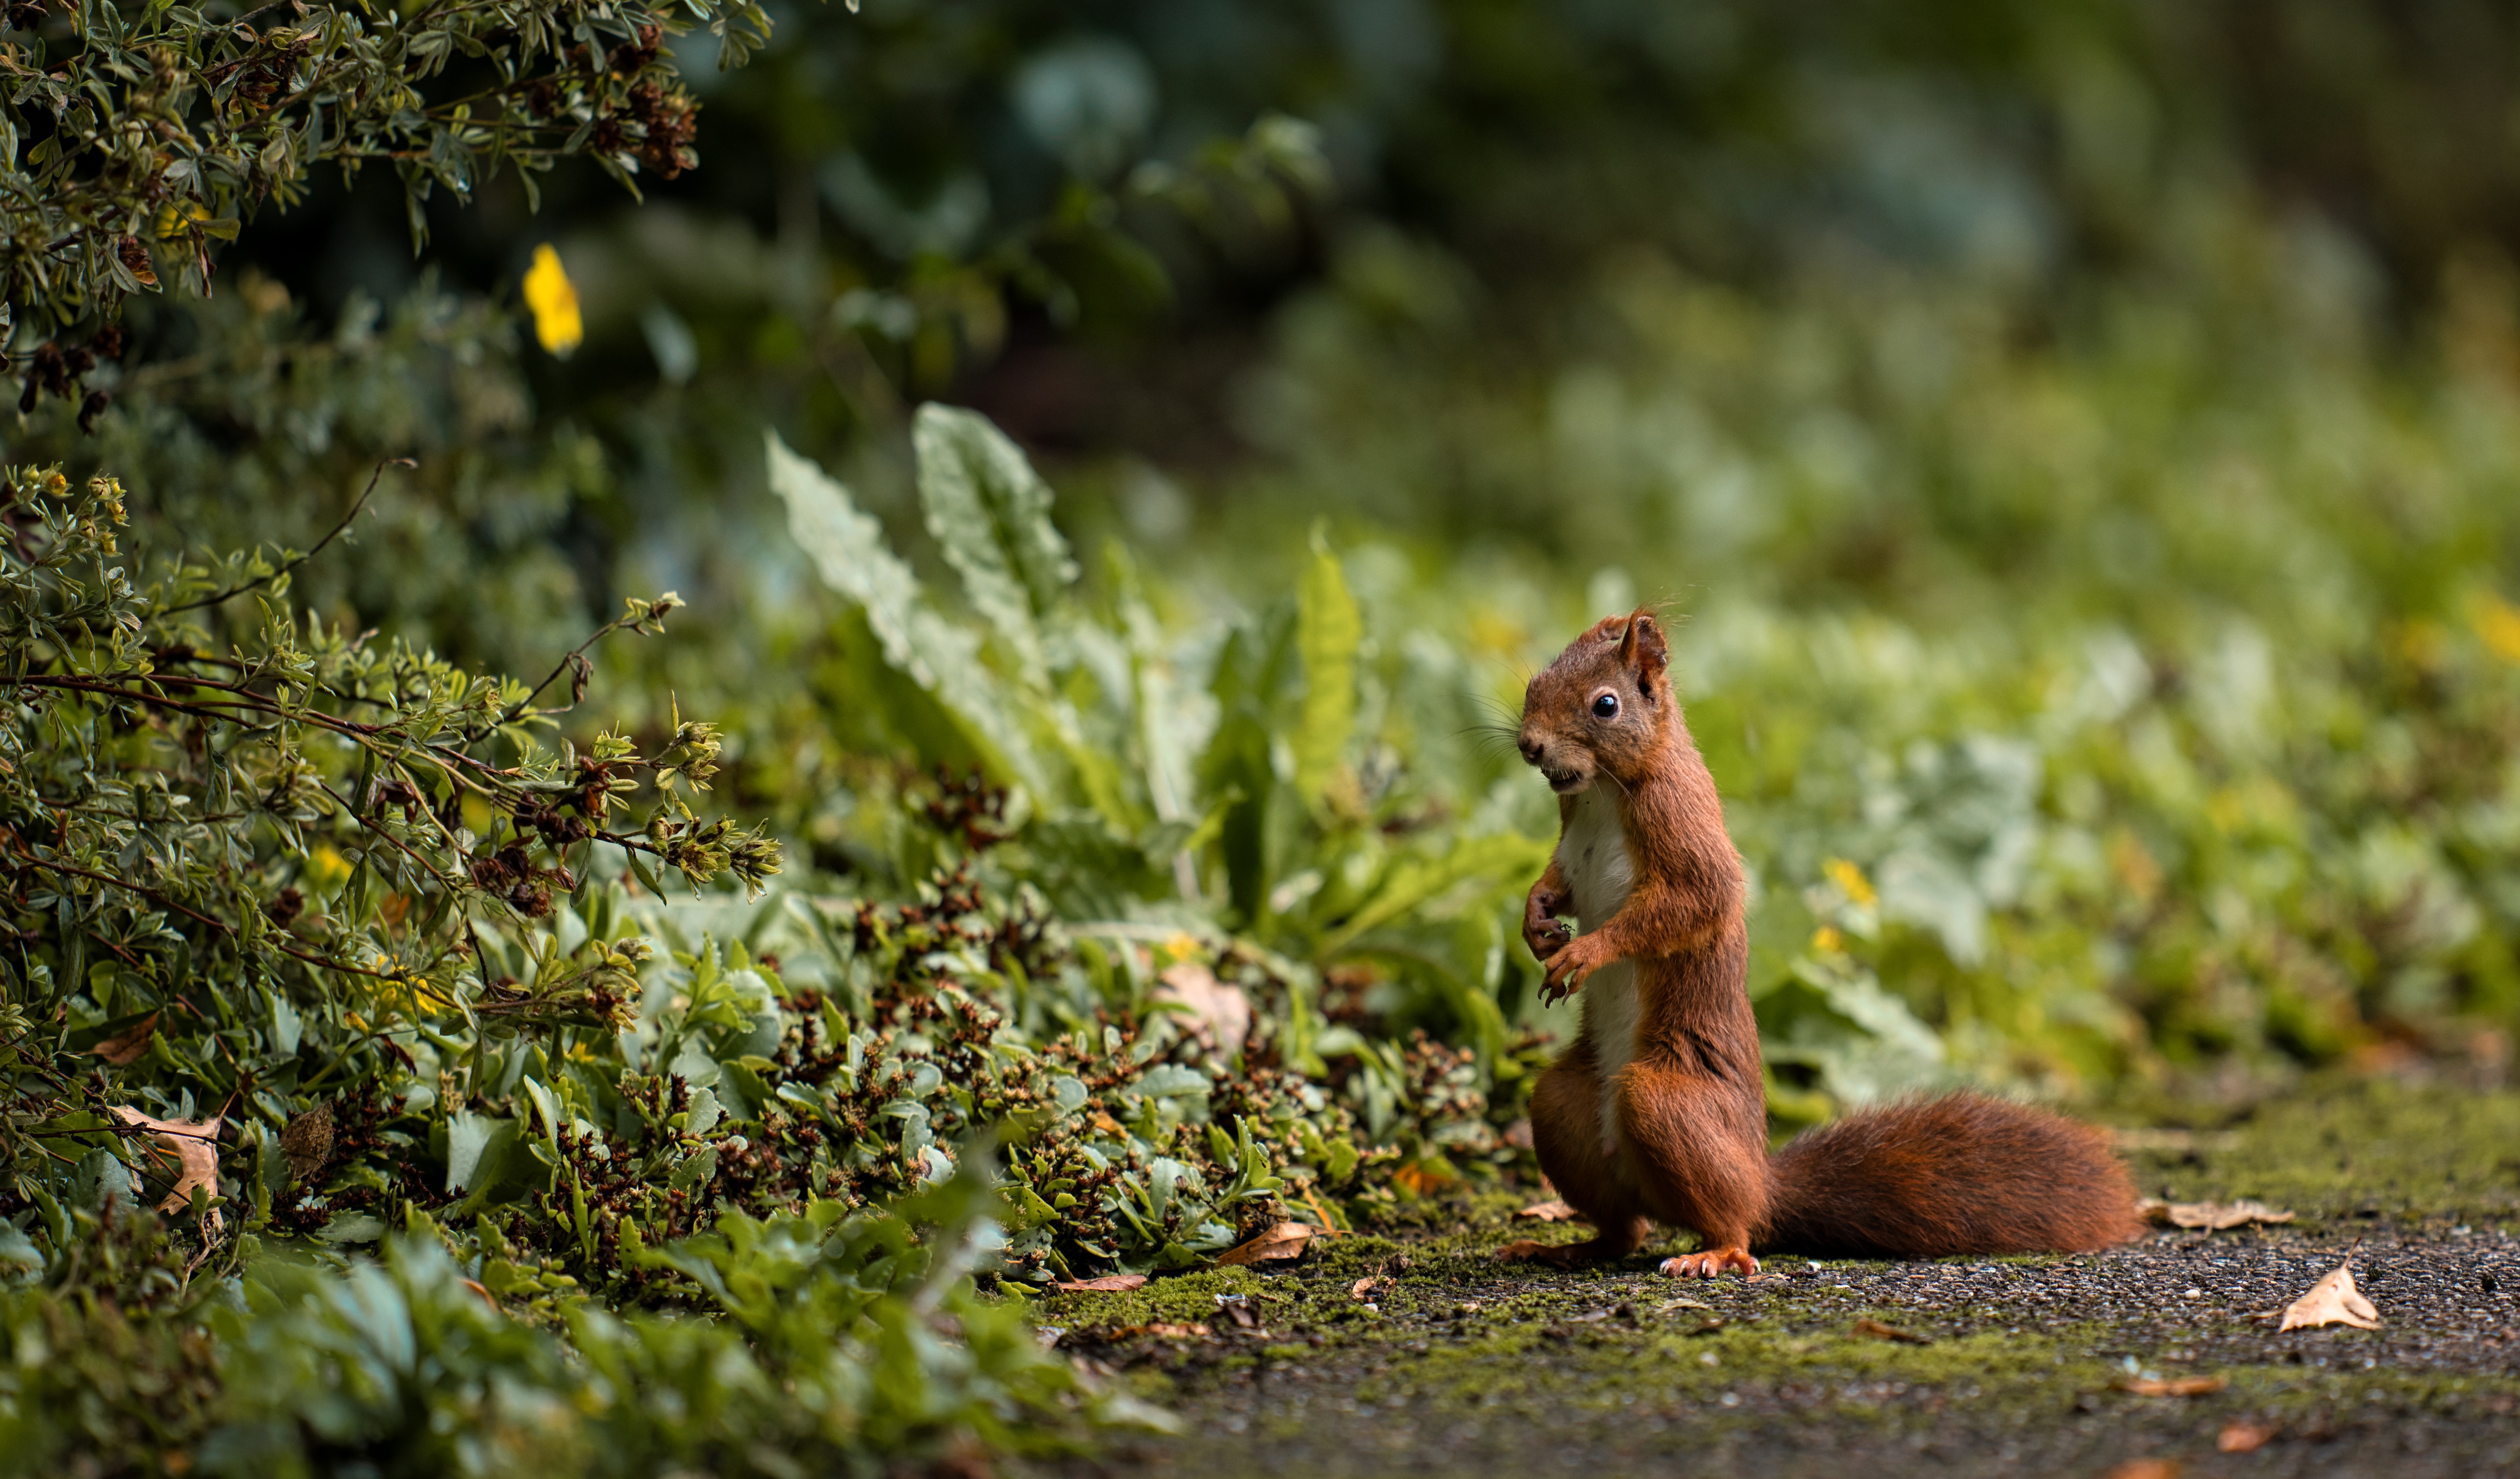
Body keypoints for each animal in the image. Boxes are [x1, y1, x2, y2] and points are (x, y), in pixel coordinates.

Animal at [1502, 607, 2137, 1280]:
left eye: (1606, 705)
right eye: (1535, 683)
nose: (1529, 745)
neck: (1602, 791)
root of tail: (1762, 1183)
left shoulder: (1684, 833)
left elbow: (1691, 904)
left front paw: (1584, 951)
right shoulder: (1573, 843)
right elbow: (1559, 884)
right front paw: (1535, 919)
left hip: (1666, 1103)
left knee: (1730, 1221)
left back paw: (1714, 1249)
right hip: (1561, 1107)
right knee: (1623, 1228)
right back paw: (1566, 1246)